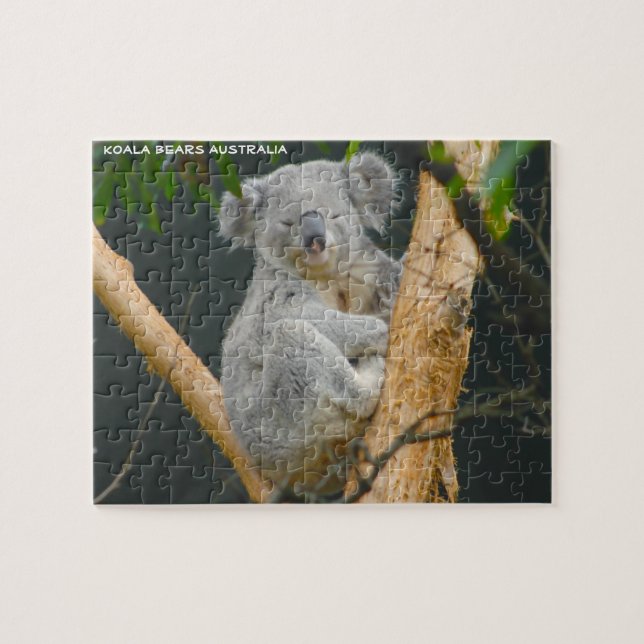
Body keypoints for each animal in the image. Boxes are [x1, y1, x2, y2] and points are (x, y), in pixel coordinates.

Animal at [217, 151, 401, 500]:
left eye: (333, 215)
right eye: (287, 223)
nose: (314, 240)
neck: (326, 275)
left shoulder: (366, 271)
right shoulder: (276, 298)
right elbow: (305, 319)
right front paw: (383, 329)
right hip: (282, 422)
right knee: (299, 343)